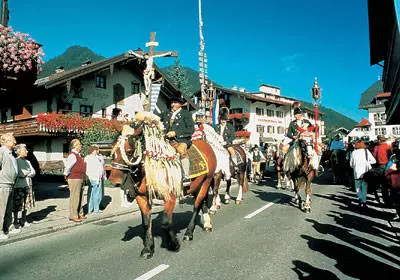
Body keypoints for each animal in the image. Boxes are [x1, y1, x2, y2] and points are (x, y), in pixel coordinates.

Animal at [107, 112, 216, 258]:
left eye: (129, 151)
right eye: (113, 149)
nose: (114, 181)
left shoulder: (170, 197)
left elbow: (165, 223)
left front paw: (173, 244)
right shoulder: (141, 197)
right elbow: (146, 222)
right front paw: (148, 249)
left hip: (206, 182)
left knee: (196, 206)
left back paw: (189, 233)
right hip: (196, 185)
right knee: (202, 203)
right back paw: (207, 225)